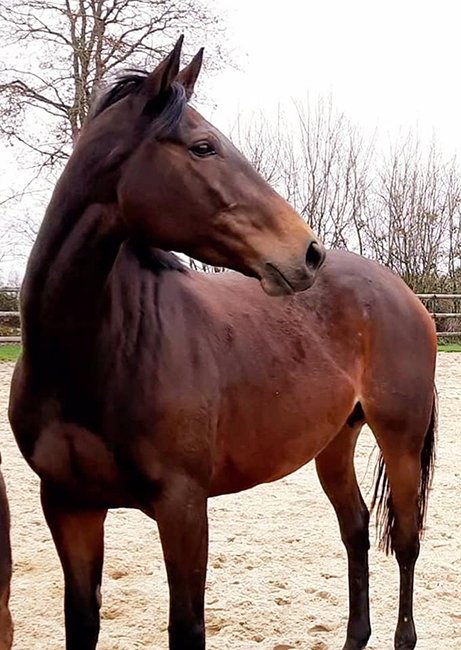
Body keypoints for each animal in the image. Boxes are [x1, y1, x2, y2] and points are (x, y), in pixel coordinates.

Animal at [8, 38, 436, 650]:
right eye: (203, 147)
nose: (306, 252)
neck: (91, 360)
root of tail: (404, 295)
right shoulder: (70, 506)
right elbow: (82, 622)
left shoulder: (183, 508)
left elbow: (187, 628)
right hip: (335, 441)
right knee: (355, 529)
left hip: (399, 437)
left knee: (404, 541)